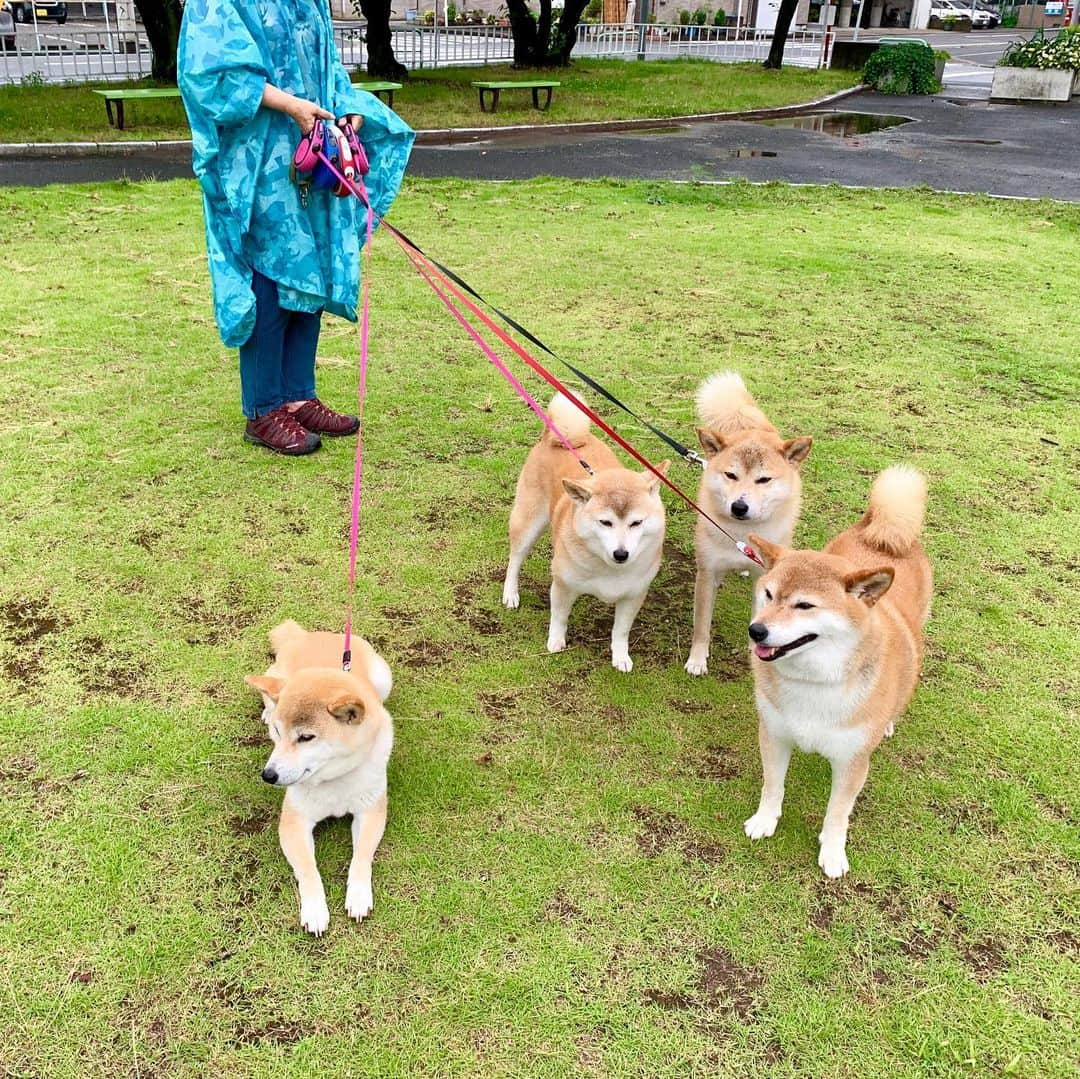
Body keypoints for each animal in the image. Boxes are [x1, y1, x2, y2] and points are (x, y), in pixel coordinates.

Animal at [247, 626, 395, 937]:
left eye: (306, 737)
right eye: (278, 733)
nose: (268, 775)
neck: (334, 778)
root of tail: (311, 633)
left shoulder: (370, 811)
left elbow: (362, 856)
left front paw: (358, 895)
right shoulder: (294, 822)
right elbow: (307, 869)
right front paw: (315, 909)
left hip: (383, 676)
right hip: (274, 674)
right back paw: (267, 708)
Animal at [503, 388, 669, 673]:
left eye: (636, 523)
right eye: (605, 522)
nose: (621, 554)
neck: (609, 568)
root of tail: (557, 438)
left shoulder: (634, 595)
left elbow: (621, 631)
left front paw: (620, 656)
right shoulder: (563, 586)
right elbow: (559, 616)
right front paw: (556, 641)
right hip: (528, 521)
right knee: (516, 558)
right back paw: (510, 593)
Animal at [682, 371, 812, 673]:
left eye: (764, 480)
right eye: (731, 475)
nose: (739, 506)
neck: (741, 533)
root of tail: (750, 426)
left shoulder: (764, 579)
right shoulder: (706, 572)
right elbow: (701, 626)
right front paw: (697, 659)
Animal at [743, 464, 928, 877]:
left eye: (804, 606)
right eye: (769, 594)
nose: (756, 630)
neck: (812, 681)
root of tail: (882, 534)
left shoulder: (852, 761)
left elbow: (838, 813)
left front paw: (832, 852)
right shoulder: (774, 735)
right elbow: (772, 785)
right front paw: (765, 820)